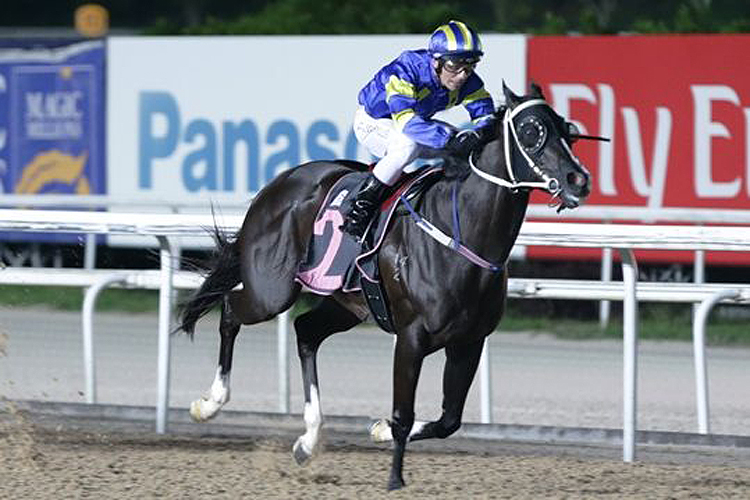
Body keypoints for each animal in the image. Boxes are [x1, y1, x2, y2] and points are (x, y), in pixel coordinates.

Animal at [178, 83, 592, 492]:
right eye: (531, 131)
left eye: (566, 129)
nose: (579, 179)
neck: (460, 235)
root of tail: (278, 185)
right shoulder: (412, 337)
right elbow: (403, 414)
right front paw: (395, 479)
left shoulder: (469, 341)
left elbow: (449, 420)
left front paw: (379, 430)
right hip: (271, 291)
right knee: (230, 311)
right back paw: (209, 403)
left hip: (349, 303)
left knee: (306, 331)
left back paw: (308, 440)